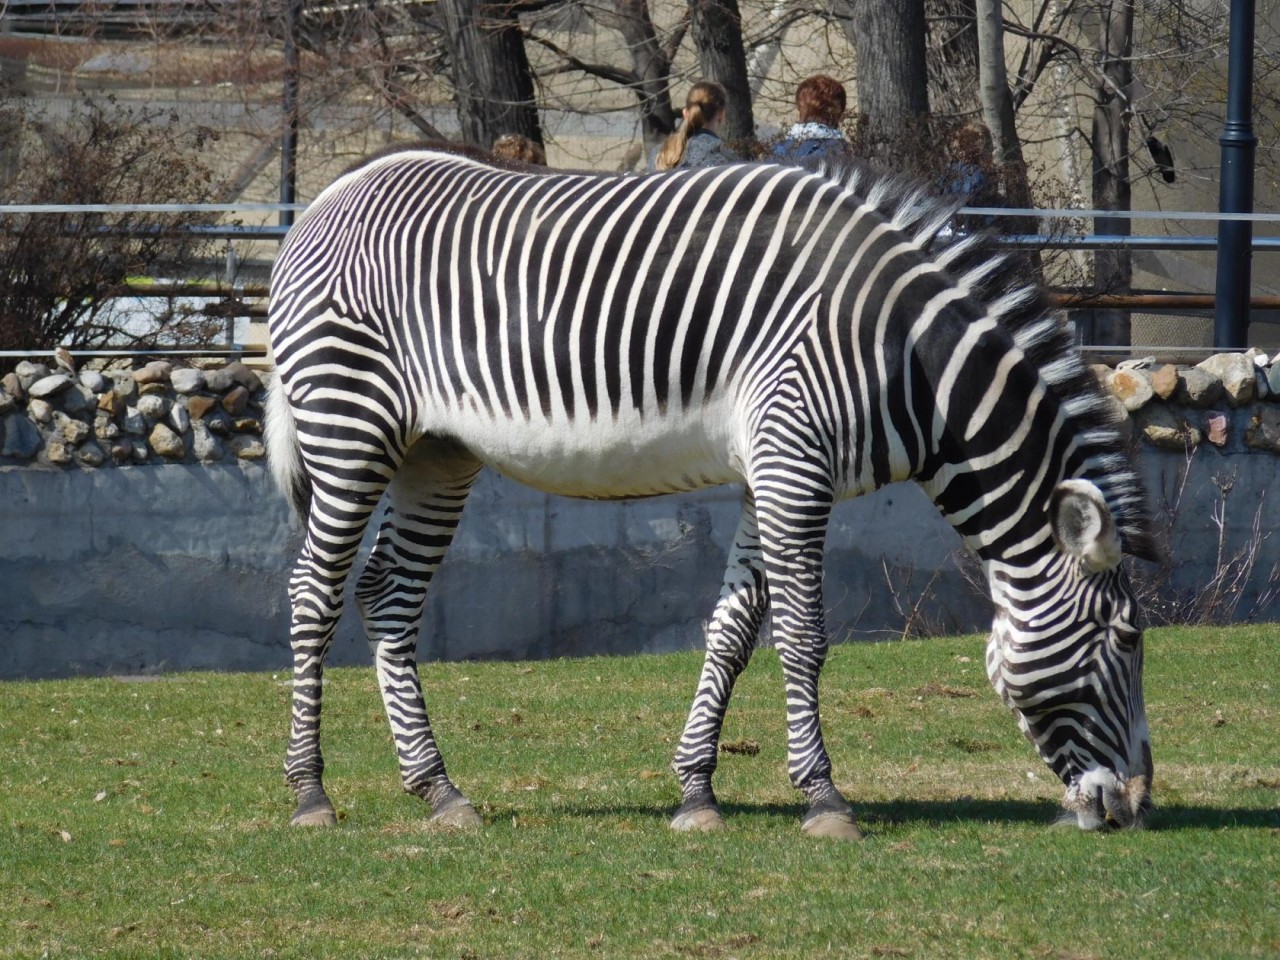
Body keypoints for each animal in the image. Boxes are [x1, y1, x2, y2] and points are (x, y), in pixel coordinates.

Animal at [262, 146, 1162, 839]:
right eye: (1126, 637)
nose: (1136, 805)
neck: (908, 360)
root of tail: (329, 197)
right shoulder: (796, 463)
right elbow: (801, 637)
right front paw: (824, 798)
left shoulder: (772, 471)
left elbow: (731, 631)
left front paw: (696, 792)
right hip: (349, 424)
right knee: (313, 592)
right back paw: (310, 793)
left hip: (435, 453)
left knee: (388, 596)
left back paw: (439, 791)